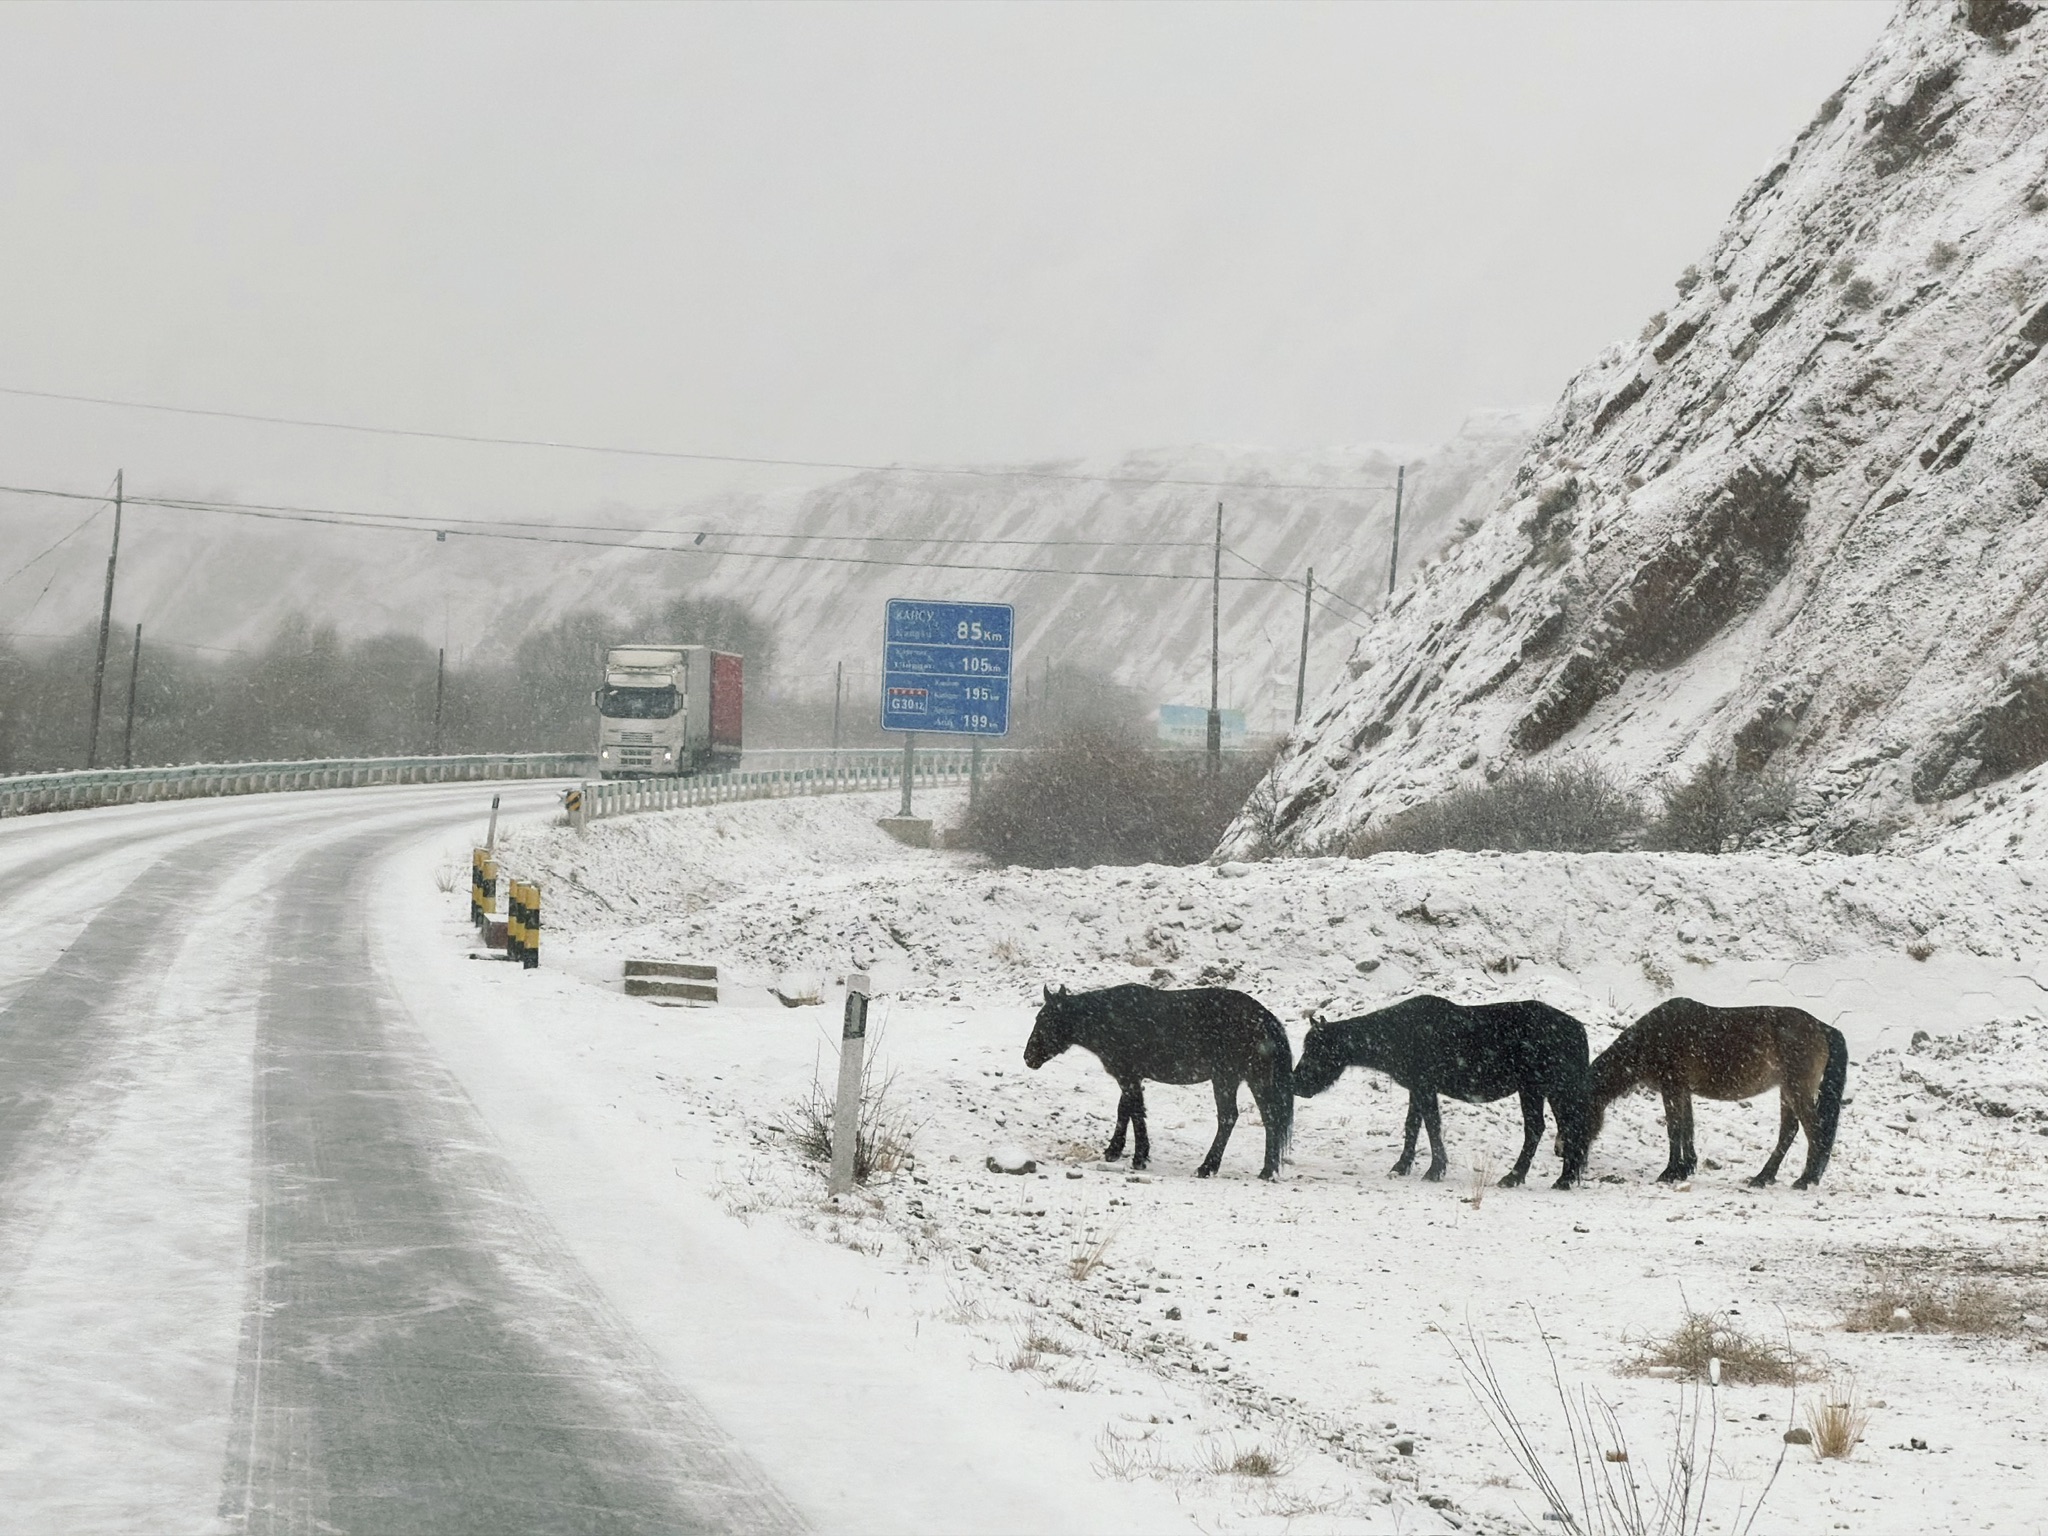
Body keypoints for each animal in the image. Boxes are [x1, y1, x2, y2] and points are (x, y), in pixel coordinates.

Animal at [1023, 983, 1294, 1180]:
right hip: (1253, 1080)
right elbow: (1126, 1110)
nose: (1028, 1057)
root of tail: (1265, 1018)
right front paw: (1117, 1150)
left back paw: (1208, 1166)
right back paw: (1267, 1170)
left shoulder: (1127, 1076)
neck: (1109, 1019)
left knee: (1229, 1118)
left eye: (1047, 1020)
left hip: (1227, 1078)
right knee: (1270, 1119)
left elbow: (1134, 1111)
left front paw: (1138, 1156)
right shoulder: (1131, 1076)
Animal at [1294, 995, 1592, 1189]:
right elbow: (1412, 1125)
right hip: (1540, 1091)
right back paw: (1536, 1177)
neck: (1397, 1034)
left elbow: (1432, 1126)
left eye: (1316, 1049)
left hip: (1548, 1090)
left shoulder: (1426, 1088)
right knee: (1549, 1128)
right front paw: (1401, 1166)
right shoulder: (1417, 1089)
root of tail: (1578, 1029)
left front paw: (1435, 1170)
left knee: (1555, 1129)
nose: (1297, 1083)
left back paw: (1549, 1179)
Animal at [1587, 998, 1848, 1188]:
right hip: (1787, 1090)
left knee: (1814, 1130)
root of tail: (1823, 1027)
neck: (1652, 1037)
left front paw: (1670, 1172)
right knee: (1789, 1131)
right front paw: (1686, 1168)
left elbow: (1674, 1128)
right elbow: (1687, 1127)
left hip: (1797, 1088)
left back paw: (1806, 1179)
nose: (1568, 1150)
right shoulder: (1683, 1090)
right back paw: (1763, 1177)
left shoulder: (1672, 1088)